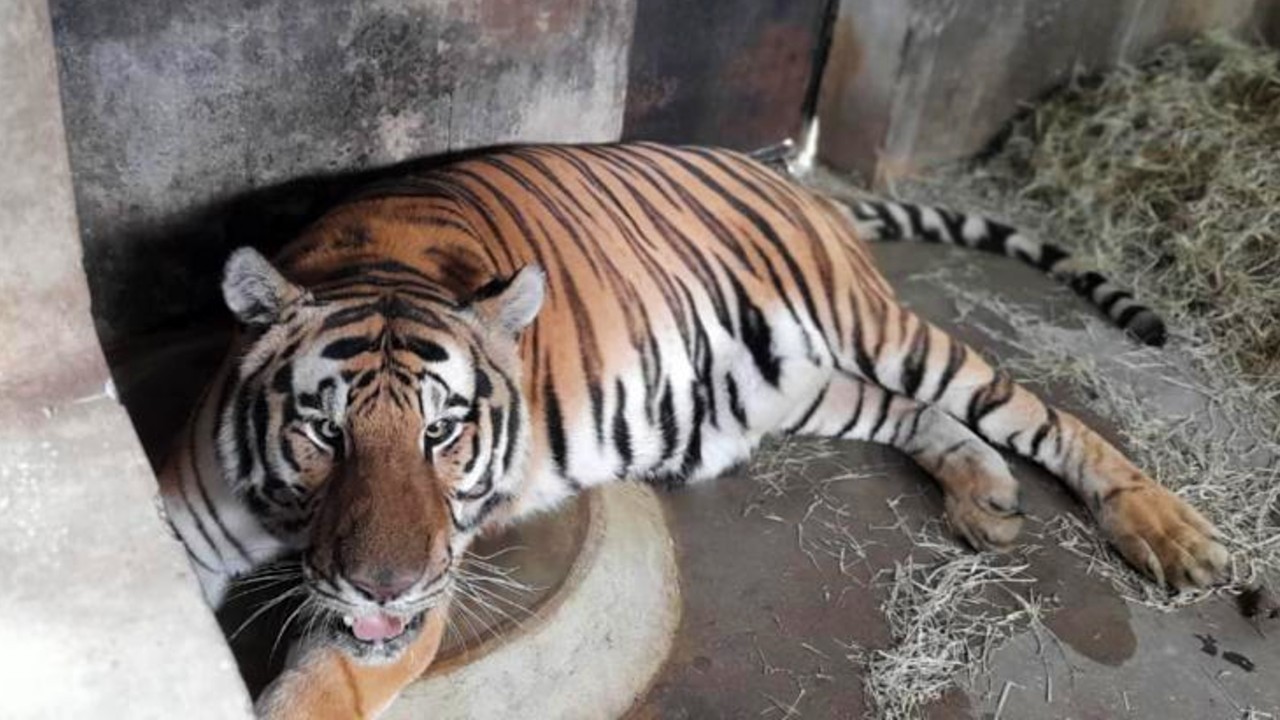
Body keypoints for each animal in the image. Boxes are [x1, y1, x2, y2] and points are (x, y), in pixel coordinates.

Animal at [156, 142, 1227, 719]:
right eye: (324, 433)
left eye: (444, 431)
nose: (387, 586)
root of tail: (800, 184)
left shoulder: (414, 605)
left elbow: (314, 687)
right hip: (798, 384)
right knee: (918, 416)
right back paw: (984, 496)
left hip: (879, 330)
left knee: (1035, 411)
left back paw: (1169, 532)